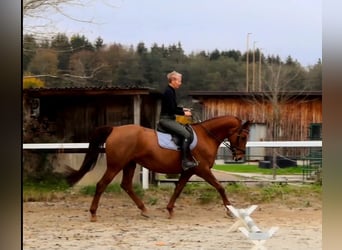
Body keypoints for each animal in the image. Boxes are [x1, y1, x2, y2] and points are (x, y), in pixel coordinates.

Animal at [65, 114, 251, 222]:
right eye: (242, 136)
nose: (239, 157)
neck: (206, 136)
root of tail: (115, 129)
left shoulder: (188, 171)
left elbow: (178, 189)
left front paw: (169, 210)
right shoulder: (202, 169)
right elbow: (220, 187)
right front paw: (230, 211)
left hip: (130, 164)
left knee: (126, 185)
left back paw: (144, 210)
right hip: (116, 165)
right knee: (102, 185)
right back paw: (93, 213)